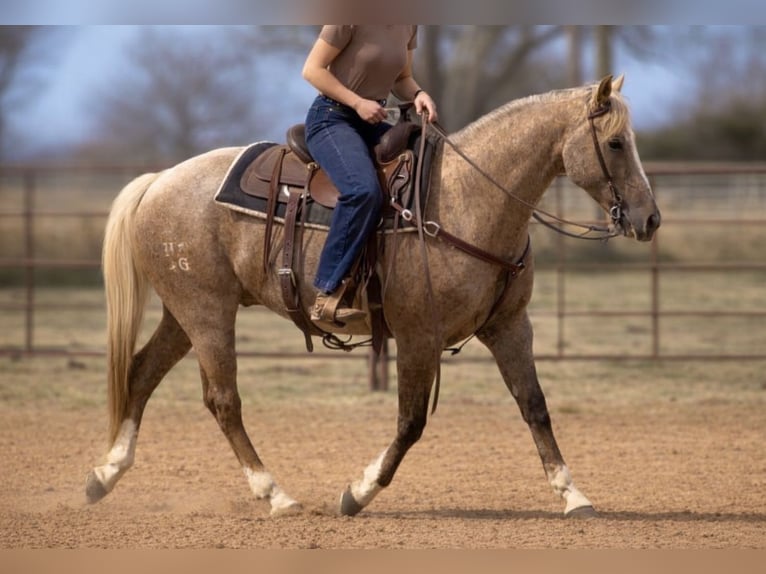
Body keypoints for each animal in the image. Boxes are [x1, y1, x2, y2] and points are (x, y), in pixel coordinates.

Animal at [85, 75, 660, 518]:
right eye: (615, 144)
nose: (649, 218)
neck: (466, 197)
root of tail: (160, 180)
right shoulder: (418, 335)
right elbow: (410, 422)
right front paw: (357, 493)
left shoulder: (510, 326)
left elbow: (534, 406)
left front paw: (573, 495)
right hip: (206, 311)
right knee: (223, 400)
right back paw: (276, 495)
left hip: (183, 313)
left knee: (142, 372)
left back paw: (104, 474)